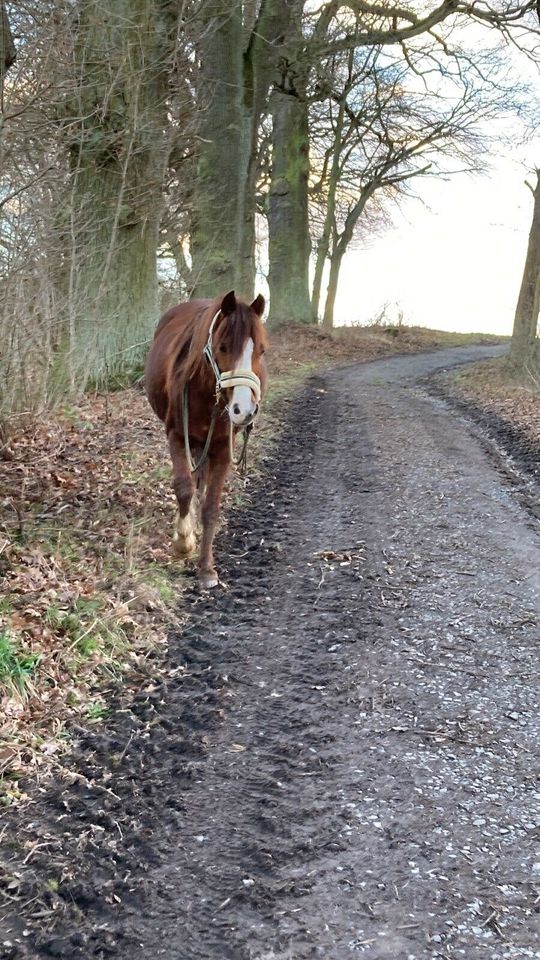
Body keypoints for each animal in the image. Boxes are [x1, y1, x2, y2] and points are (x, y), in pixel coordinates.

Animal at [146, 286, 268, 584]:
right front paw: (183, 541)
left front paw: (206, 567)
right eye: (223, 347)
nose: (244, 410)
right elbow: (183, 488)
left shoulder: (223, 446)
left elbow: (211, 506)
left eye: (261, 350)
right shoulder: (177, 435)